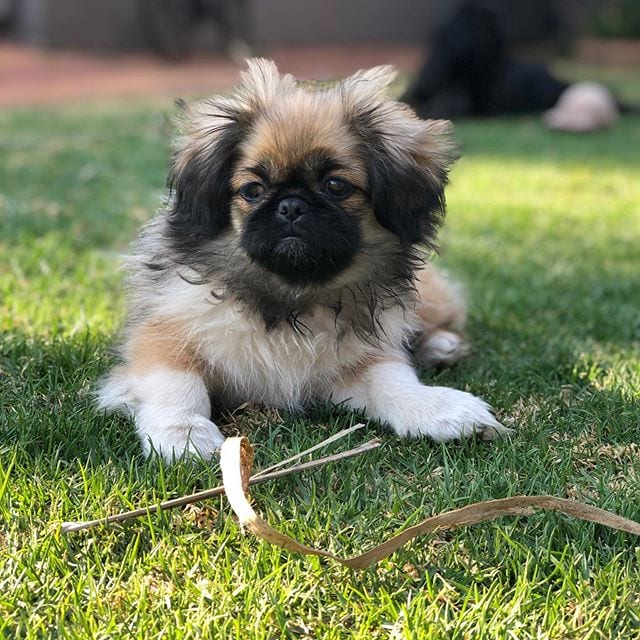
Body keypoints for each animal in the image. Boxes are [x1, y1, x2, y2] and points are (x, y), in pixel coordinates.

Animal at [99, 58, 510, 460]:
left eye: (335, 186)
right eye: (253, 190)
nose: (291, 206)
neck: (292, 297)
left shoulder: (358, 363)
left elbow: (394, 381)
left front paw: (440, 409)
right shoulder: (162, 336)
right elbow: (178, 383)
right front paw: (183, 432)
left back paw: (442, 345)